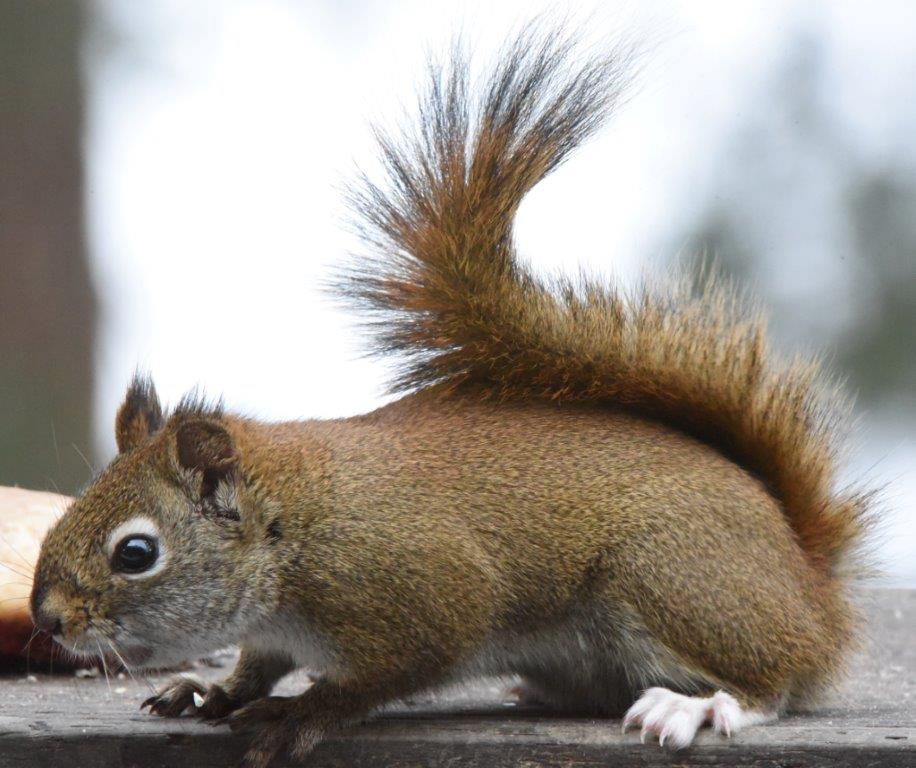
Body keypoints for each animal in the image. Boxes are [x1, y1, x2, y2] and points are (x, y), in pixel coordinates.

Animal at [30, 25, 873, 768]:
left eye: (136, 553)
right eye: (64, 517)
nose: (47, 618)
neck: (294, 524)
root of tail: (810, 586)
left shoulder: (425, 594)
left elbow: (383, 675)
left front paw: (304, 713)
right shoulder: (274, 631)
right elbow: (256, 662)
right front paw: (212, 691)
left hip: (674, 579)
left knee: (771, 683)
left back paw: (695, 704)